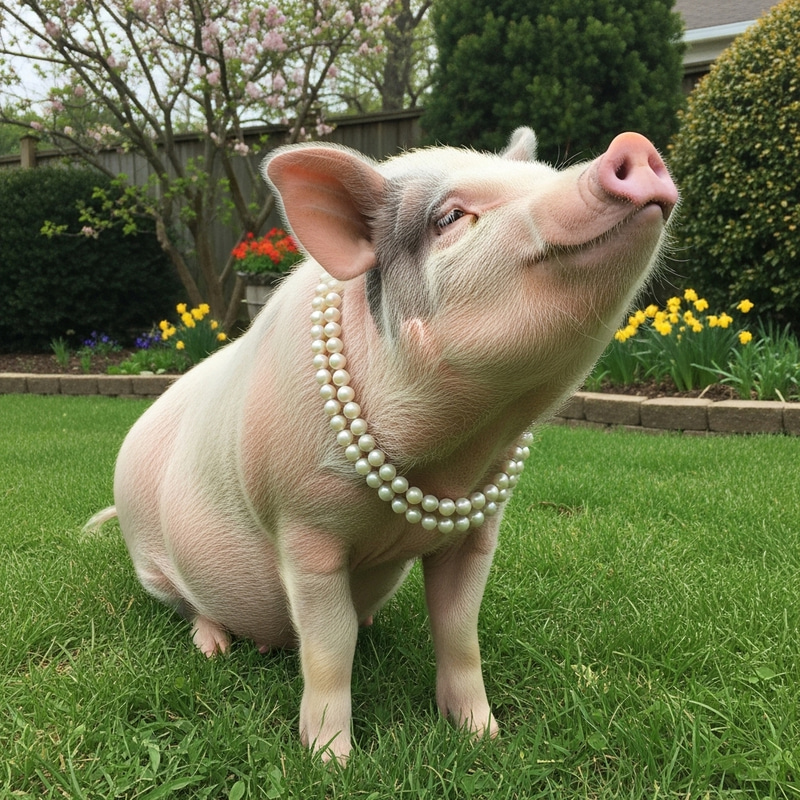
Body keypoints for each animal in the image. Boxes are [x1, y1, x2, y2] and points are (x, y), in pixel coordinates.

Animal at [87, 128, 677, 763]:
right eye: (449, 217)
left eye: (543, 172)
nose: (632, 144)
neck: (443, 466)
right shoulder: (305, 527)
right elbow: (330, 646)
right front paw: (330, 762)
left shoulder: (477, 530)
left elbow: (459, 631)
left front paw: (485, 738)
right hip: (150, 562)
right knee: (191, 607)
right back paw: (213, 648)